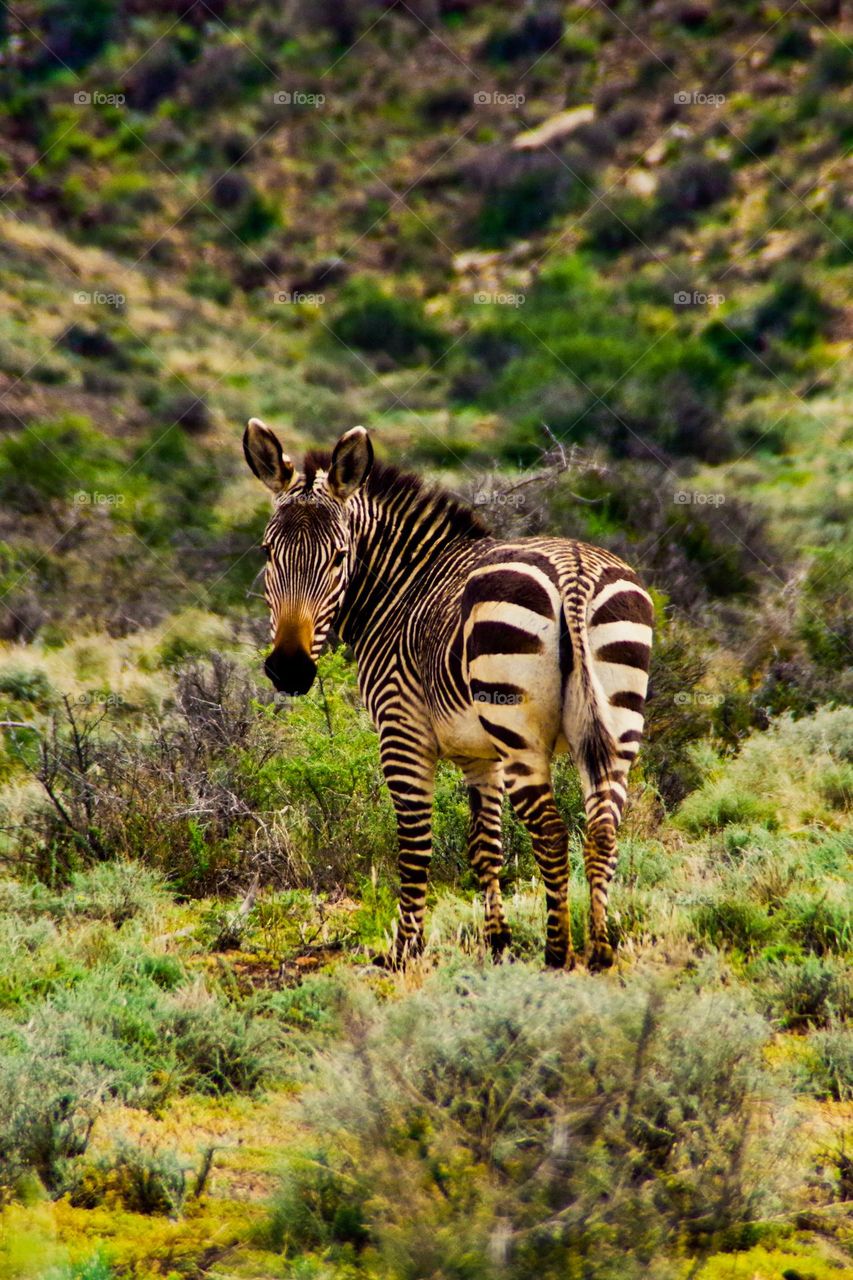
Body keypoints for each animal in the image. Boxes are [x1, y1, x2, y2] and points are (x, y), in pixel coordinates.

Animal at [240, 419, 650, 967]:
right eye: (268, 553)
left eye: (341, 557)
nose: (289, 669)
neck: (402, 587)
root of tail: (575, 571)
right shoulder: (480, 755)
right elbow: (485, 846)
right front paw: (496, 942)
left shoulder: (402, 731)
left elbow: (414, 844)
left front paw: (404, 950)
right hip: (618, 721)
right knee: (602, 830)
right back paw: (600, 950)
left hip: (519, 730)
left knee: (551, 832)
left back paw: (557, 952)